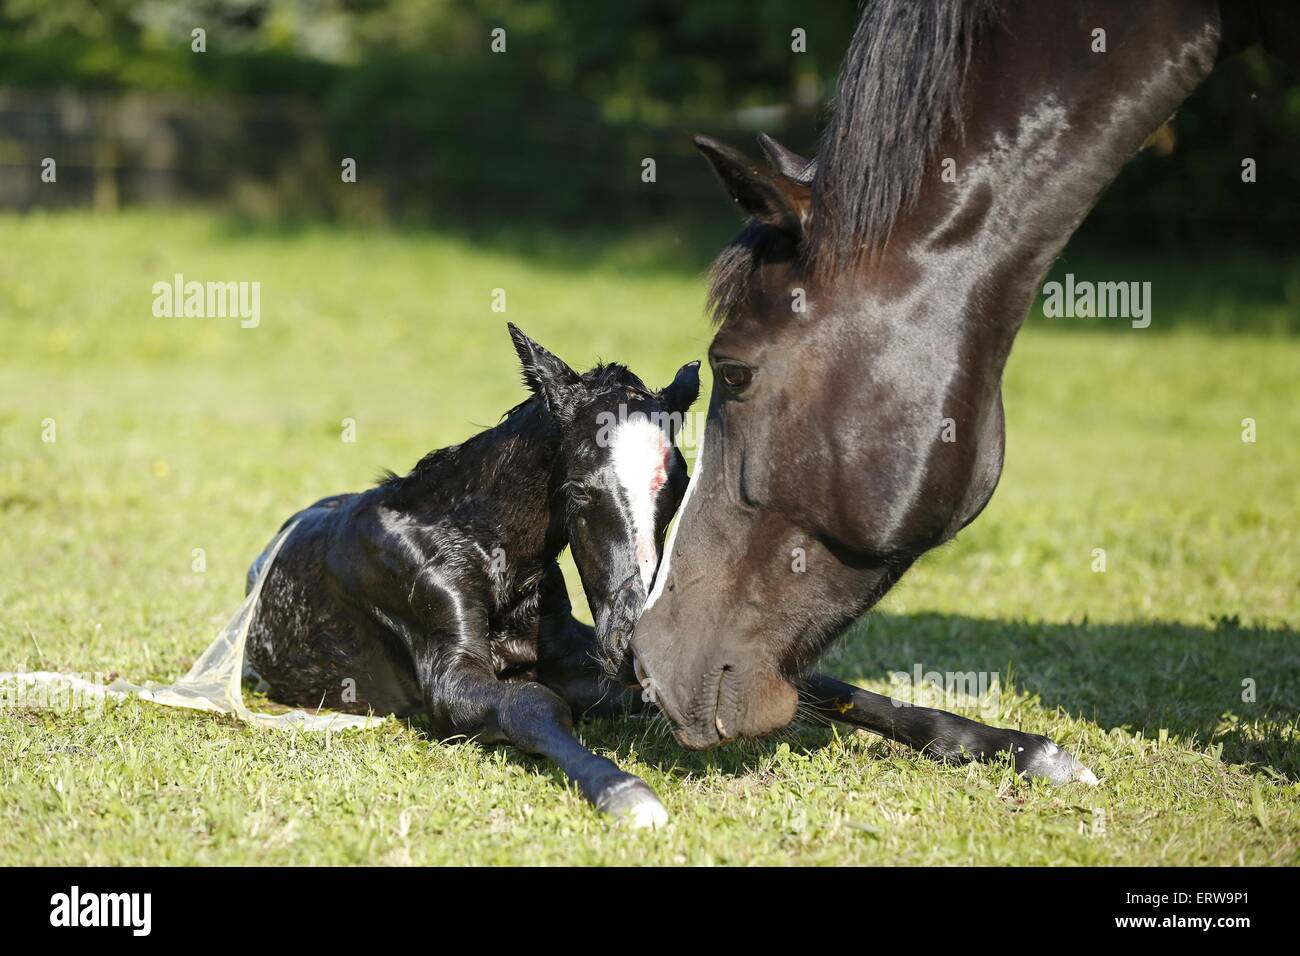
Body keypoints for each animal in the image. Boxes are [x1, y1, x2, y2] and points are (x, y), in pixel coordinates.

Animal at [240, 325, 696, 827]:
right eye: (579, 489)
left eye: (680, 487)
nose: (637, 647)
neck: (482, 546)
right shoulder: (449, 679)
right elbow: (532, 703)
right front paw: (623, 790)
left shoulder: (570, 653)